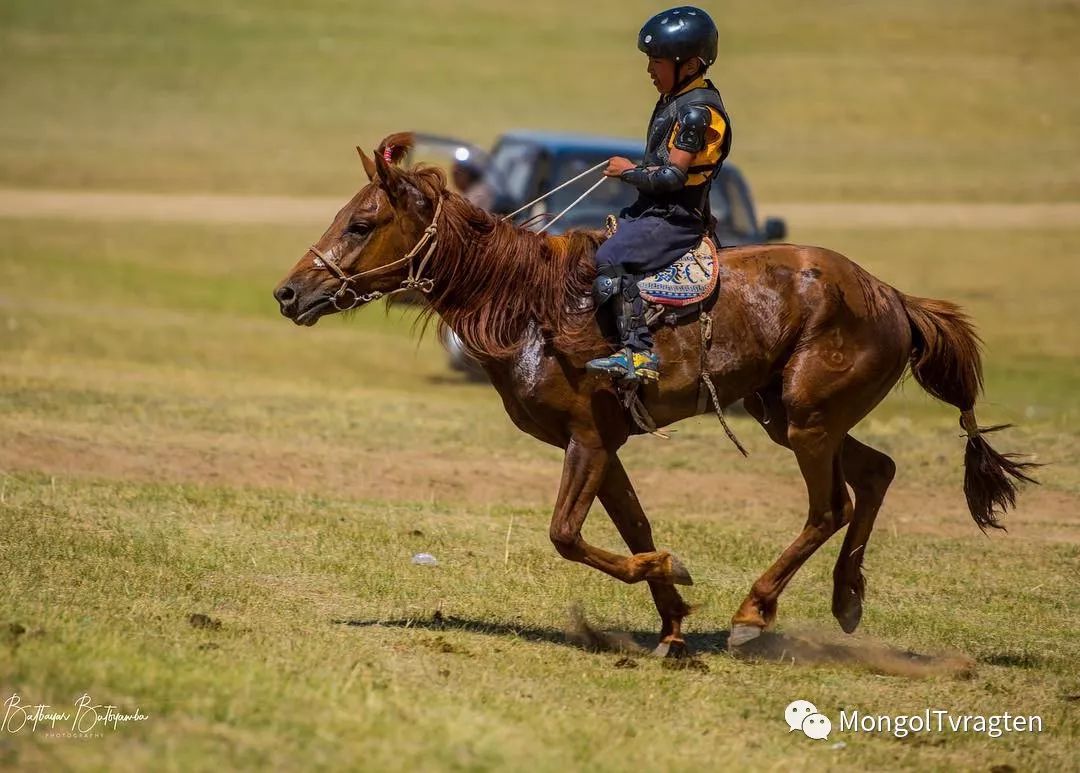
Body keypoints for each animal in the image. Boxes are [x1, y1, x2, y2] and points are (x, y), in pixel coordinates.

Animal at [272, 131, 1036, 652]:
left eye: (361, 224)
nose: (288, 293)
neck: (534, 307)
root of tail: (893, 297)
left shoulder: (585, 441)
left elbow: (567, 535)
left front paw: (677, 575)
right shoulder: (604, 446)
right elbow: (630, 526)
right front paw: (671, 624)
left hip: (809, 424)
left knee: (831, 507)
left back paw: (754, 614)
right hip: (788, 415)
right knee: (877, 472)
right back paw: (847, 598)